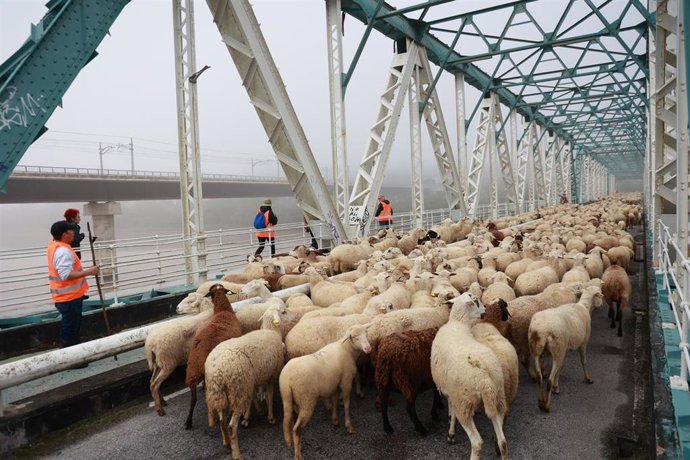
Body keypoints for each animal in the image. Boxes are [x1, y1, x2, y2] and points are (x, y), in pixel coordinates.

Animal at [204, 303, 292, 458]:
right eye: (283, 312)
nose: (294, 318)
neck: (272, 331)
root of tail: (217, 371)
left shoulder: (252, 381)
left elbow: (252, 398)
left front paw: (249, 416)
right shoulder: (270, 376)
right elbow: (269, 396)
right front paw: (270, 417)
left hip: (222, 391)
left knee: (221, 420)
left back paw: (226, 443)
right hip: (237, 389)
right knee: (231, 426)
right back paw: (237, 454)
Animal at [280, 324, 373, 460]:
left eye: (366, 334)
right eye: (355, 337)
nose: (368, 348)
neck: (347, 349)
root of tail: (287, 380)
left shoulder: (333, 384)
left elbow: (334, 400)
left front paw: (335, 419)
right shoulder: (346, 382)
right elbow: (346, 404)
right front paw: (349, 426)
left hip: (288, 399)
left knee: (288, 422)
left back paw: (290, 444)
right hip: (306, 401)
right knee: (296, 429)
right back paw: (298, 454)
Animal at [431, 293, 509, 460]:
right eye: (477, 301)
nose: (485, 308)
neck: (458, 323)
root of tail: (485, 380)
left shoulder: (453, 394)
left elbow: (452, 411)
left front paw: (451, 433)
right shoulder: (452, 391)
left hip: (464, 403)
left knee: (477, 442)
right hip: (497, 398)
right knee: (503, 441)